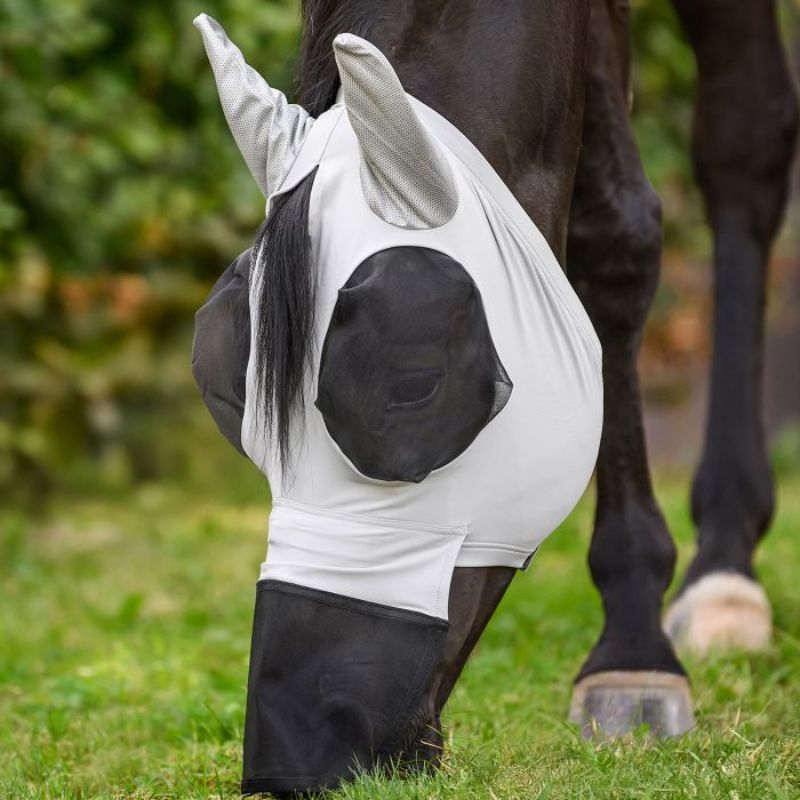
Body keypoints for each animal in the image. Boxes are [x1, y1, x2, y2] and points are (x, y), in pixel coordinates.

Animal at [190, 0, 798, 791]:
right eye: (222, 384)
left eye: (414, 385)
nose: (294, 747)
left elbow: (624, 229)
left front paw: (635, 652)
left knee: (744, 143)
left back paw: (726, 574)